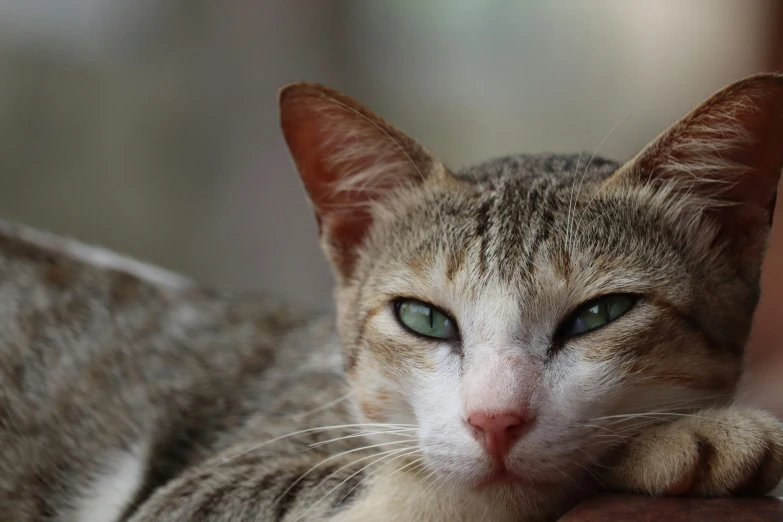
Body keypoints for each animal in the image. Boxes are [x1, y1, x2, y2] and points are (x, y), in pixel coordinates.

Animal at [1, 74, 783, 520]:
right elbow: (427, 485)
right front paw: (683, 439)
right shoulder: (190, 498)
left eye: (599, 314)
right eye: (422, 318)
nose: (495, 420)